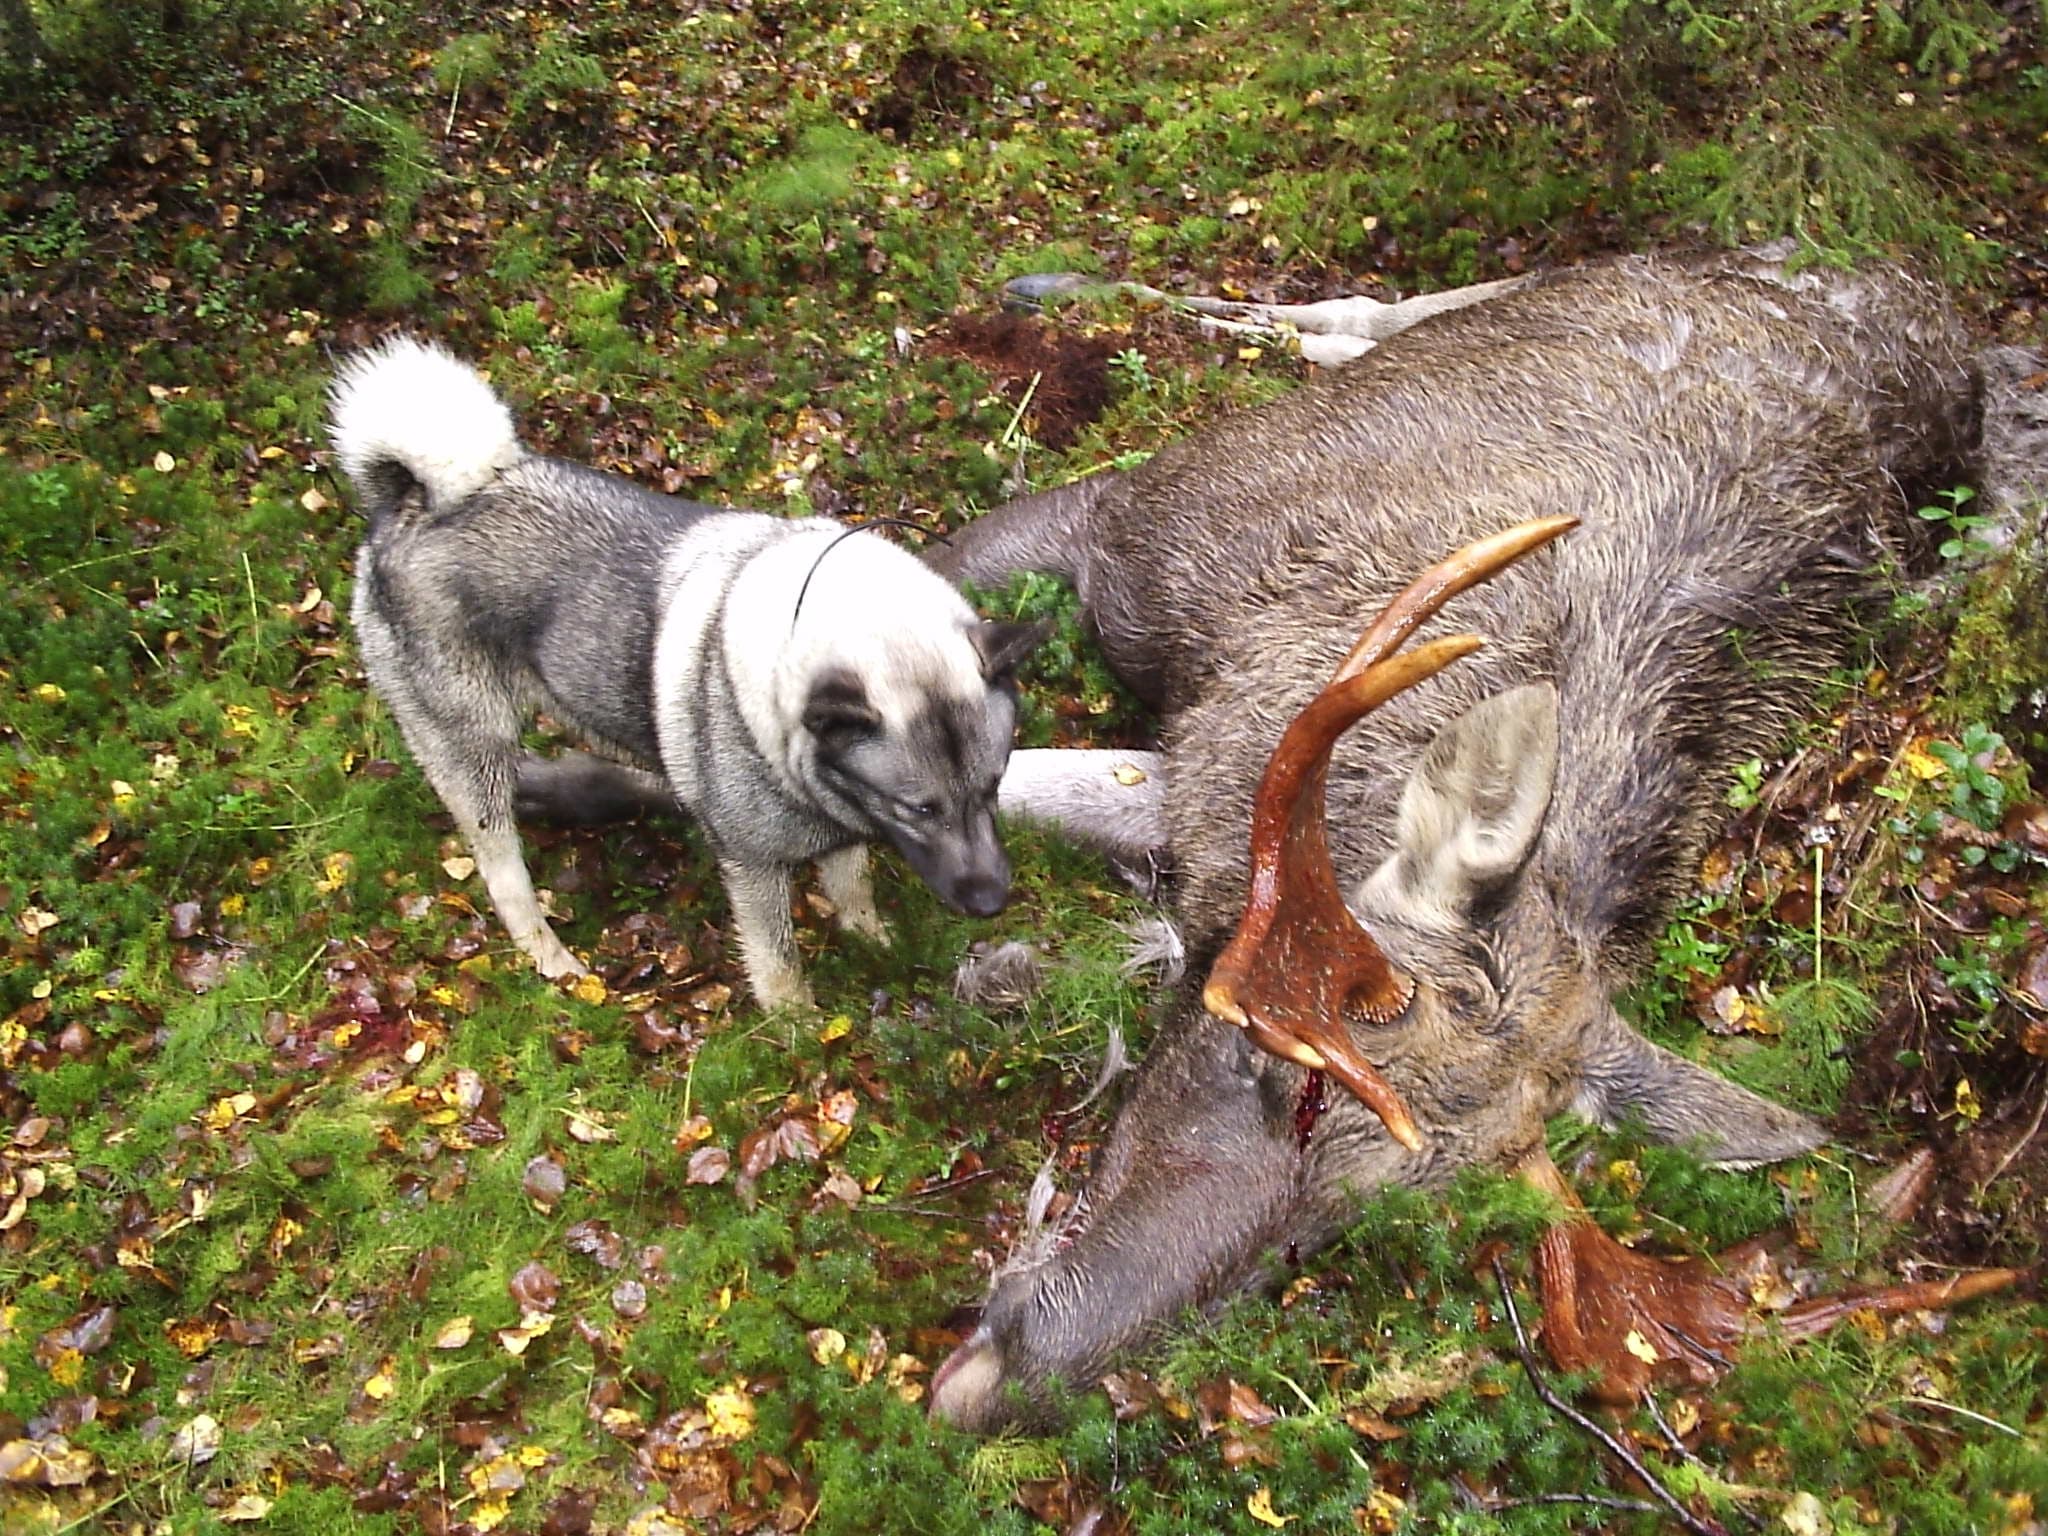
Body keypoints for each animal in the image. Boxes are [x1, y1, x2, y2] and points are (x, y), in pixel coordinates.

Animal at [919, 249, 2021, 1432]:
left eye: (1344, 1224)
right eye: (1258, 1054)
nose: (988, 1383)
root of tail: (1922, 296)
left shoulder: (1191, 779)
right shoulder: (1126, 517)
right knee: (1379, 307)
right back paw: (1058, 289)